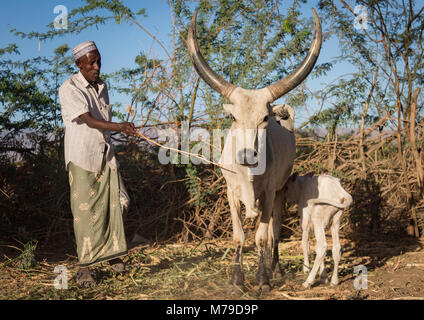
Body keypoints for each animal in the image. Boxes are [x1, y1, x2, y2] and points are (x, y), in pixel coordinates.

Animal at [187, 8, 322, 292]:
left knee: (274, 231)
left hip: (280, 192)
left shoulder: (270, 192)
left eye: (265, 118)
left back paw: (275, 269)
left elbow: (262, 237)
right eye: (234, 118)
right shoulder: (230, 192)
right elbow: (238, 237)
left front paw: (262, 279)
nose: (248, 155)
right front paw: (237, 280)